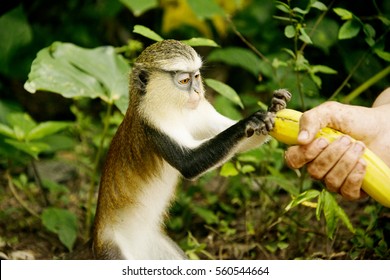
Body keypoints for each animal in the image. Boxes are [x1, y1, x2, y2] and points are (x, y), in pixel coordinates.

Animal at [93, 38, 290, 260]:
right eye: (184, 81)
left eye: (196, 77)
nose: (197, 91)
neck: (174, 107)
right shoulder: (154, 122)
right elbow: (189, 163)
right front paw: (249, 121)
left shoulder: (200, 109)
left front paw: (275, 106)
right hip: (114, 252)